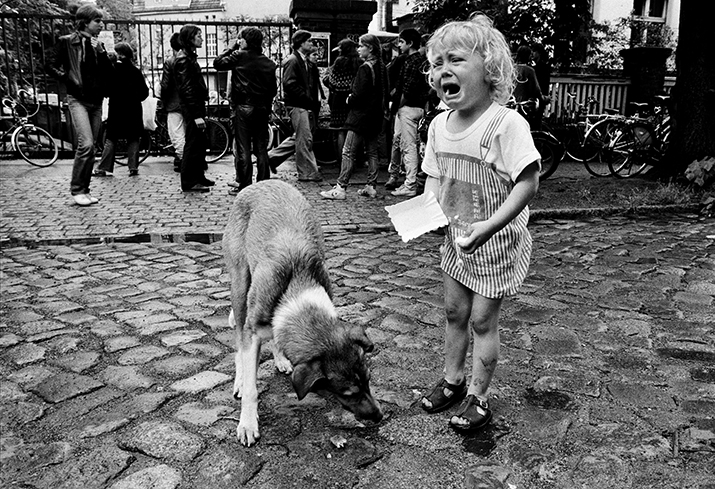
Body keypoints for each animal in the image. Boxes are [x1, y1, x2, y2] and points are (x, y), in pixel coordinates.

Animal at [224, 180, 384, 446]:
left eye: (369, 380)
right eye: (347, 392)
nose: (379, 416)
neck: (297, 282)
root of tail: (261, 182)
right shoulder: (252, 331)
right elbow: (251, 389)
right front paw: (247, 424)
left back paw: (280, 359)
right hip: (239, 286)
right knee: (238, 338)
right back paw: (240, 379)